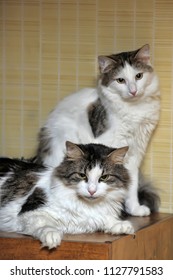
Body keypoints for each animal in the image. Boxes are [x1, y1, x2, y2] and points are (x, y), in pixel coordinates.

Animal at [0, 141, 159, 248]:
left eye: (104, 177)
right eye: (82, 175)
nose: (92, 190)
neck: (87, 206)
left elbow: (105, 219)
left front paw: (121, 225)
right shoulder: (29, 212)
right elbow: (44, 225)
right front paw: (52, 237)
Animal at [35, 44, 161, 218]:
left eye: (139, 76)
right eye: (120, 80)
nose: (133, 91)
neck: (135, 110)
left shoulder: (134, 154)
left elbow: (131, 185)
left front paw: (134, 209)